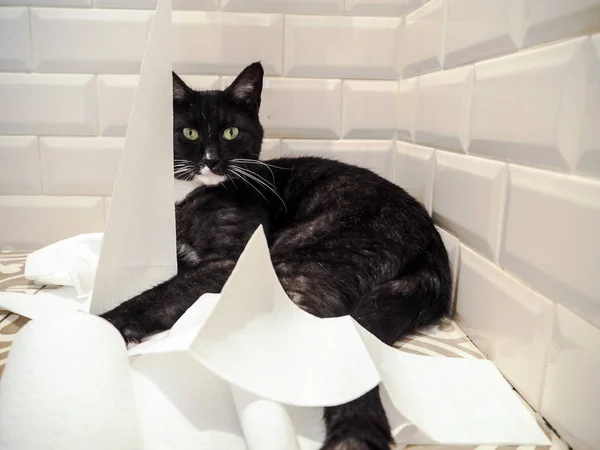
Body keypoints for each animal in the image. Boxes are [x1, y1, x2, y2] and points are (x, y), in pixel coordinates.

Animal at [103, 61, 450, 450]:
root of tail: (431, 250)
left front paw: (104, 324)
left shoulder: (230, 261)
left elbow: (161, 293)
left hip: (298, 261)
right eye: (189, 132)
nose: (211, 160)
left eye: (231, 132)